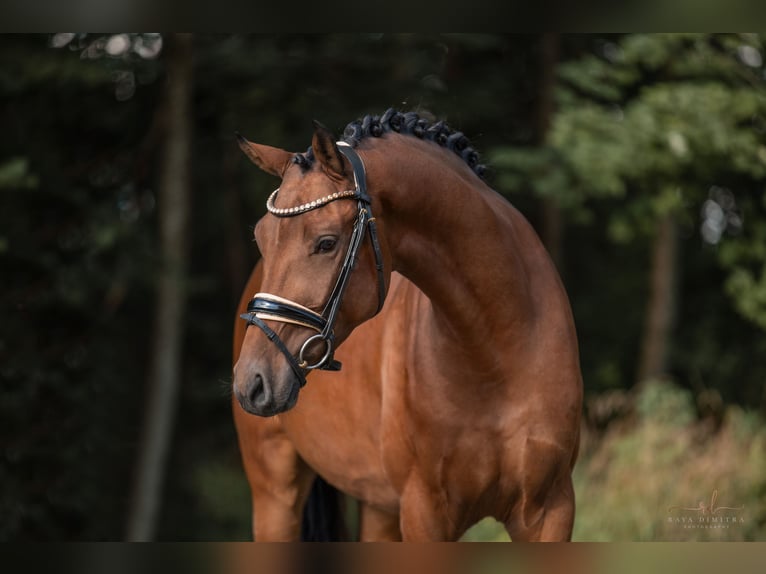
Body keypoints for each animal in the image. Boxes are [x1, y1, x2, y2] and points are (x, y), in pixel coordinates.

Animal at [231, 110, 584, 544]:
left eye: (326, 243)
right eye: (262, 239)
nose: (252, 381)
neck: (498, 350)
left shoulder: (551, 510)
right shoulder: (424, 511)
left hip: (379, 507)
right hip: (275, 495)